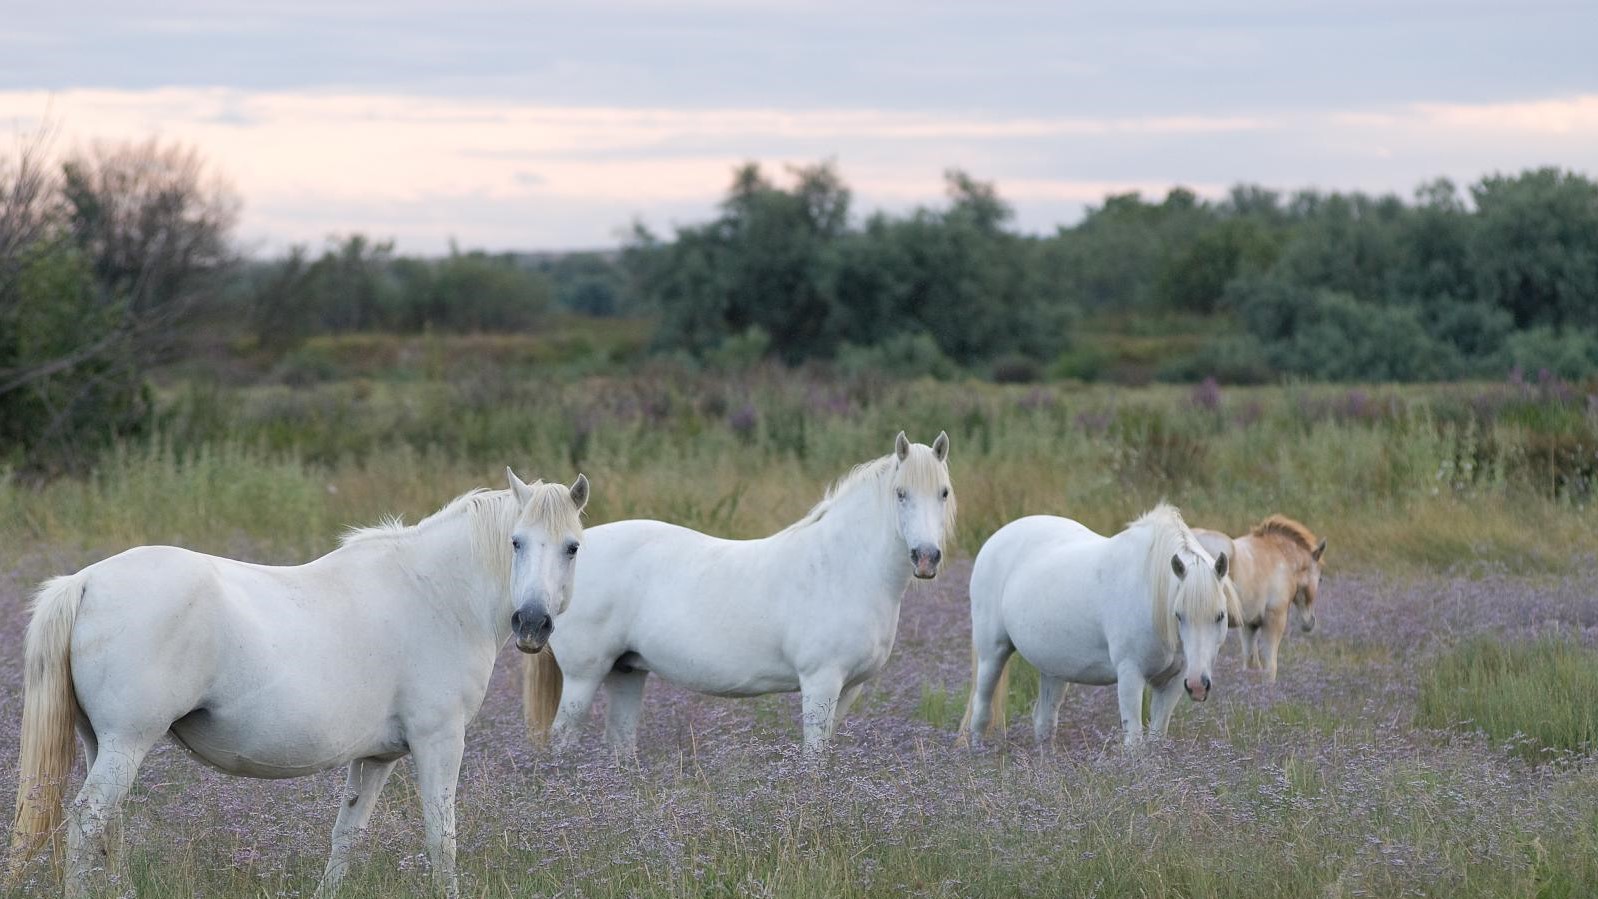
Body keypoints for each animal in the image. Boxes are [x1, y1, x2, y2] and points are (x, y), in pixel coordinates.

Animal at [6, 472, 594, 899]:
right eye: (516, 542)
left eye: (572, 547)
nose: (532, 623)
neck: (436, 592)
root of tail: (85, 581)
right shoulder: (439, 742)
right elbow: (441, 837)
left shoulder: (376, 758)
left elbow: (346, 834)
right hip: (127, 743)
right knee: (87, 824)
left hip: (101, 744)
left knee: (109, 828)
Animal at [524, 431, 946, 756]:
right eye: (900, 493)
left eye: (943, 492)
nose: (926, 558)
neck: (842, 567)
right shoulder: (820, 682)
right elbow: (814, 759)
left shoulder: (849, 689)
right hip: (583, 677)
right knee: (562, 741)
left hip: (626, 672)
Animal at [958, 507, 1233, 753]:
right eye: (1179, 615)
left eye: (1220, 616)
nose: (1198, 685)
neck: (1150, 591)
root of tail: (995, 539)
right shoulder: (1130, 675)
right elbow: (1134, 741)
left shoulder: (1173, 682)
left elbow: (1156, 738)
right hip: (992, 654)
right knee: (981, 712)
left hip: (1054, 670)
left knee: (1044, 721)